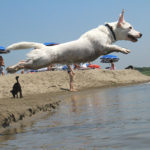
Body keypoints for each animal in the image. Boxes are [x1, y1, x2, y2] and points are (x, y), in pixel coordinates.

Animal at [5, 9, 142, 90]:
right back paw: (11, 68)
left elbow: (113, 48)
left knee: (23, 63)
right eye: (130, 27)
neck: (109, 32)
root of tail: (42, 46)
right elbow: (116, 47)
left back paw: (11, 69)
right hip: (39, 62)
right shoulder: (103, 47)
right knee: (23, 63)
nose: (141, 34)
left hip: (39, 63)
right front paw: (124, 50)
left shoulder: (104, 50)